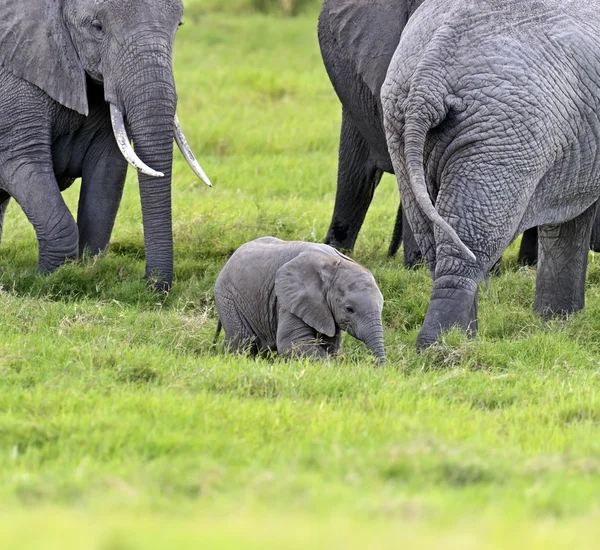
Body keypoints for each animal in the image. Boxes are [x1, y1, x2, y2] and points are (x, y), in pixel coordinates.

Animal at [0, 0, 211, 294]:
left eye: (178, 25)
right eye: (97, 27)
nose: (152, 288)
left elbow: (106, 174)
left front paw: (87, 271)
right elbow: (22, 163)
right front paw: (45, 281)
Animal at [214, 238, 384, 364]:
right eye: (350, 309)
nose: (375, 367)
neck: (333, 263)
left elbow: (330, 344)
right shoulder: (289, 299)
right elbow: (293, 341)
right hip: (228, 297)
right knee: (243, 340)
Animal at [382, 0, 600, 350]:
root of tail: (430, 72)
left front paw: (557, 323)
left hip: (399, 121)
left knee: (434, 239)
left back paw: (461, 340)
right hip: (503, 131)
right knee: (471, 235)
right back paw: (442, 347)